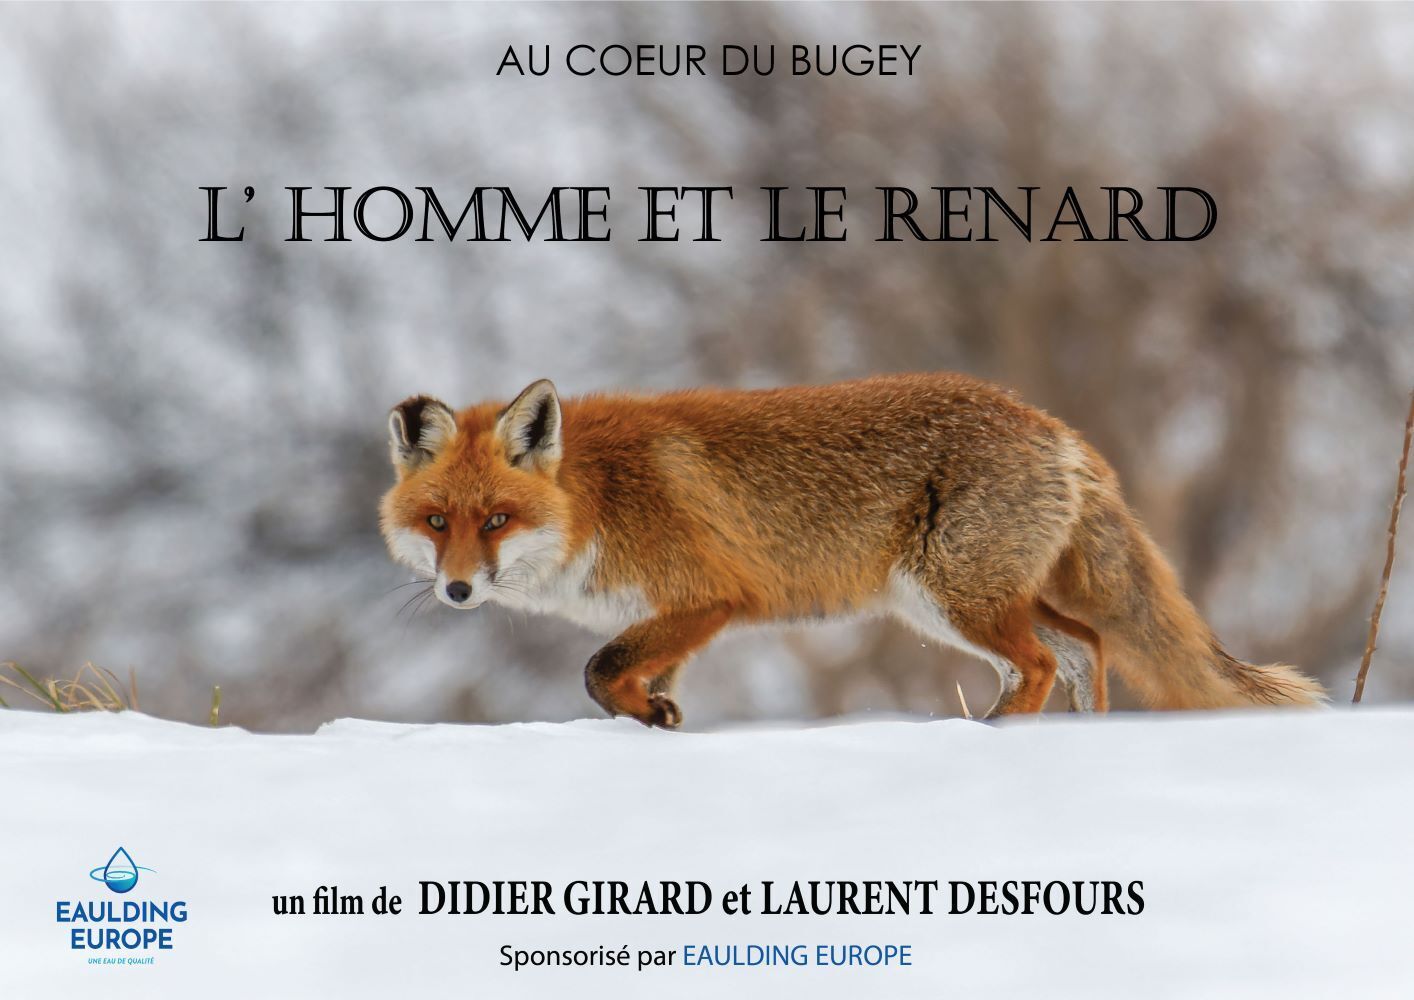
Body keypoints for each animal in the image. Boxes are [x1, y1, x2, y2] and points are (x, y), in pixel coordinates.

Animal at [379, 373, 1326, 727]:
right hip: (957, 605)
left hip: (954, 597)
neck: (595, 499)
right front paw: (658, 726)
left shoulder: (707, 598)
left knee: (1042, 662)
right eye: (438, 523)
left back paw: (995, 738)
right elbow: (629, 683)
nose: (458, 592)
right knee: (1085, 646)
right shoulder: (668, 620)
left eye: (497, 520)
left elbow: (599, 671)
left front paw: (650, 719)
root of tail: (1050, 423)